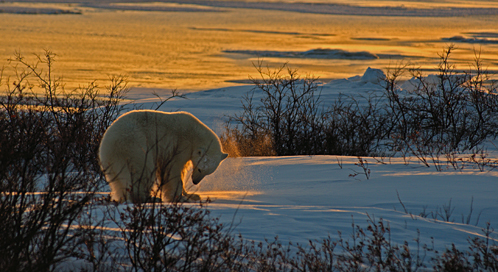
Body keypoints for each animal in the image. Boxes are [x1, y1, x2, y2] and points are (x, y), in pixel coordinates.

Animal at [99, 110, 228, 202]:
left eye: (208, 173)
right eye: (200, 169)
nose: (195, 181)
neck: (194, 133)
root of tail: (107, 143)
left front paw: (192, 195)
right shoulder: (180, 144)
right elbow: (173, 169)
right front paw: (179, 198)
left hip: (111, 161)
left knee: (118, 180)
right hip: (134, 146)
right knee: (142, 171)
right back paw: (148, 198)